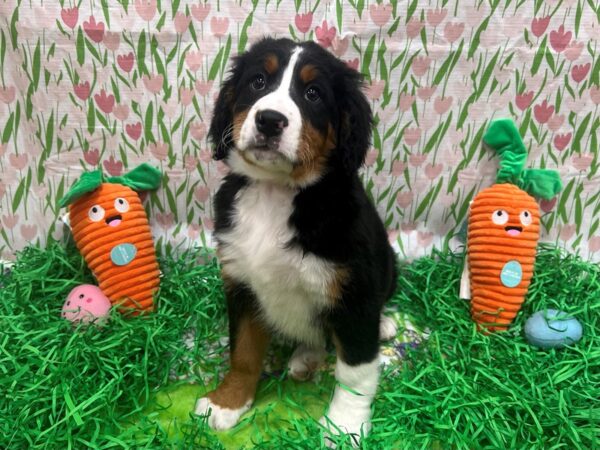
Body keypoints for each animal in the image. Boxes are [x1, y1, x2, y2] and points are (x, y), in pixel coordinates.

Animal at [196, 37, 398, 442]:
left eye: (313, 93)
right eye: (258, 82)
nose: (270, 120)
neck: (276, 192)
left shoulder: (353, 295)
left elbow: (355, 372)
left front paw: (344, 426)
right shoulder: (241, 283)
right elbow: (243, 352)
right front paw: (227, 402)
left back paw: (382, 324)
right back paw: (306, 358)